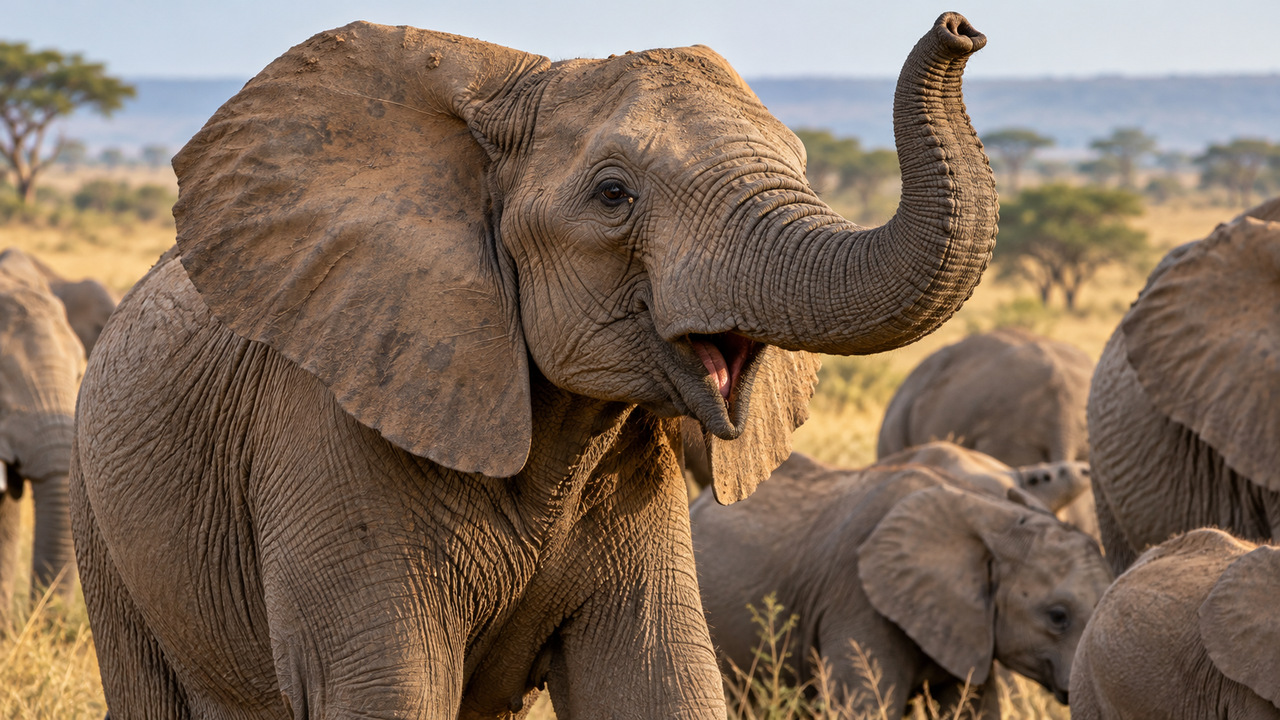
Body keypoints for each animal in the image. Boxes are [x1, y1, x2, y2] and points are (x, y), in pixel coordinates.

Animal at [71, 14, 998, 719]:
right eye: (614, 194)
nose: (960, 27)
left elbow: (658, 686)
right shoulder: (327, 432)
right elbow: (385, 693)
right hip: (103, 525)